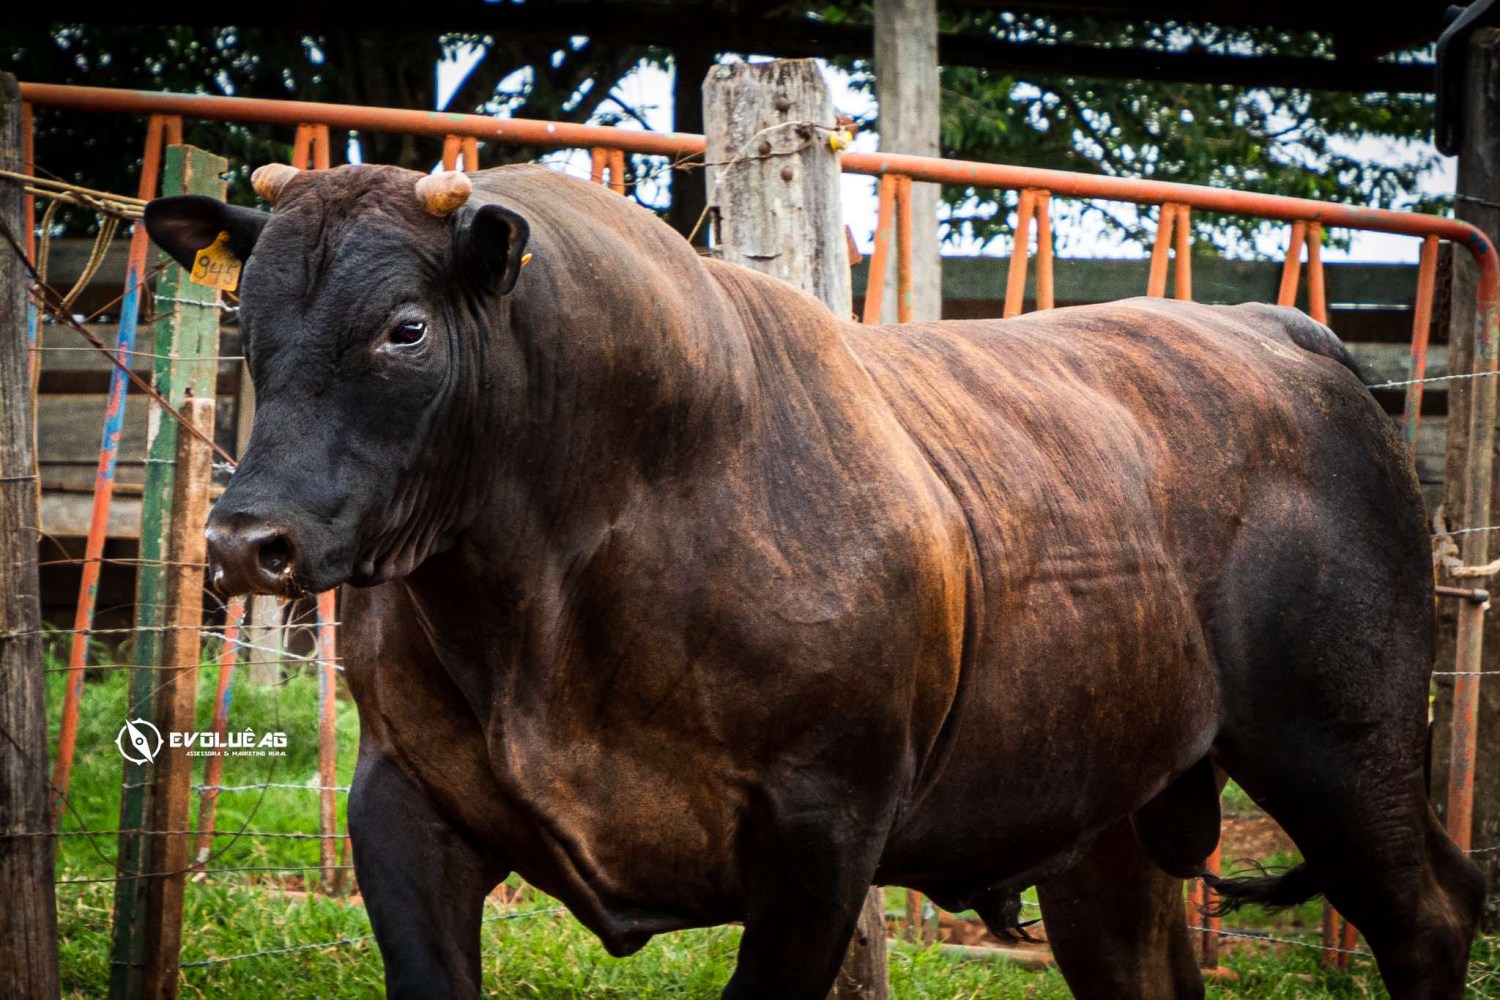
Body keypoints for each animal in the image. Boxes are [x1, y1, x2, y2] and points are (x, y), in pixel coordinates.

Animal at [146, 166, 1482, 1000]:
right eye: (248, 315)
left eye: (406, 328)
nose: (246, 541)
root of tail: (1279, 331)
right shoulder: (402, 799)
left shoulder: (823, 826)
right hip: (1109, 818)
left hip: (1343, 740)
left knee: (1432, 916)